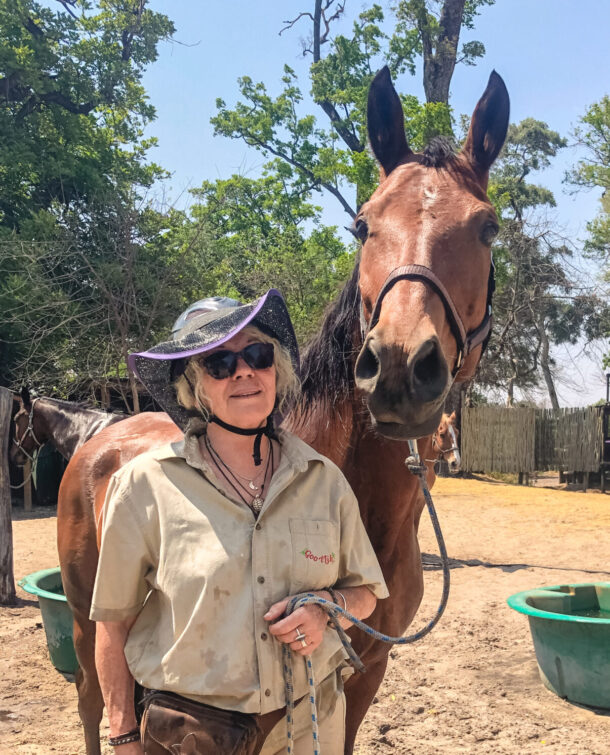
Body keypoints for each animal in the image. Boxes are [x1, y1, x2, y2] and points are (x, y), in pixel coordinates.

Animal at [57, 66, 509, 754]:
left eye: (487, 228)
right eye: (363, 225)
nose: (401, 368)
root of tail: (101, 440)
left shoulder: (363, 668)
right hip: (86, 625)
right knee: (93, 700)